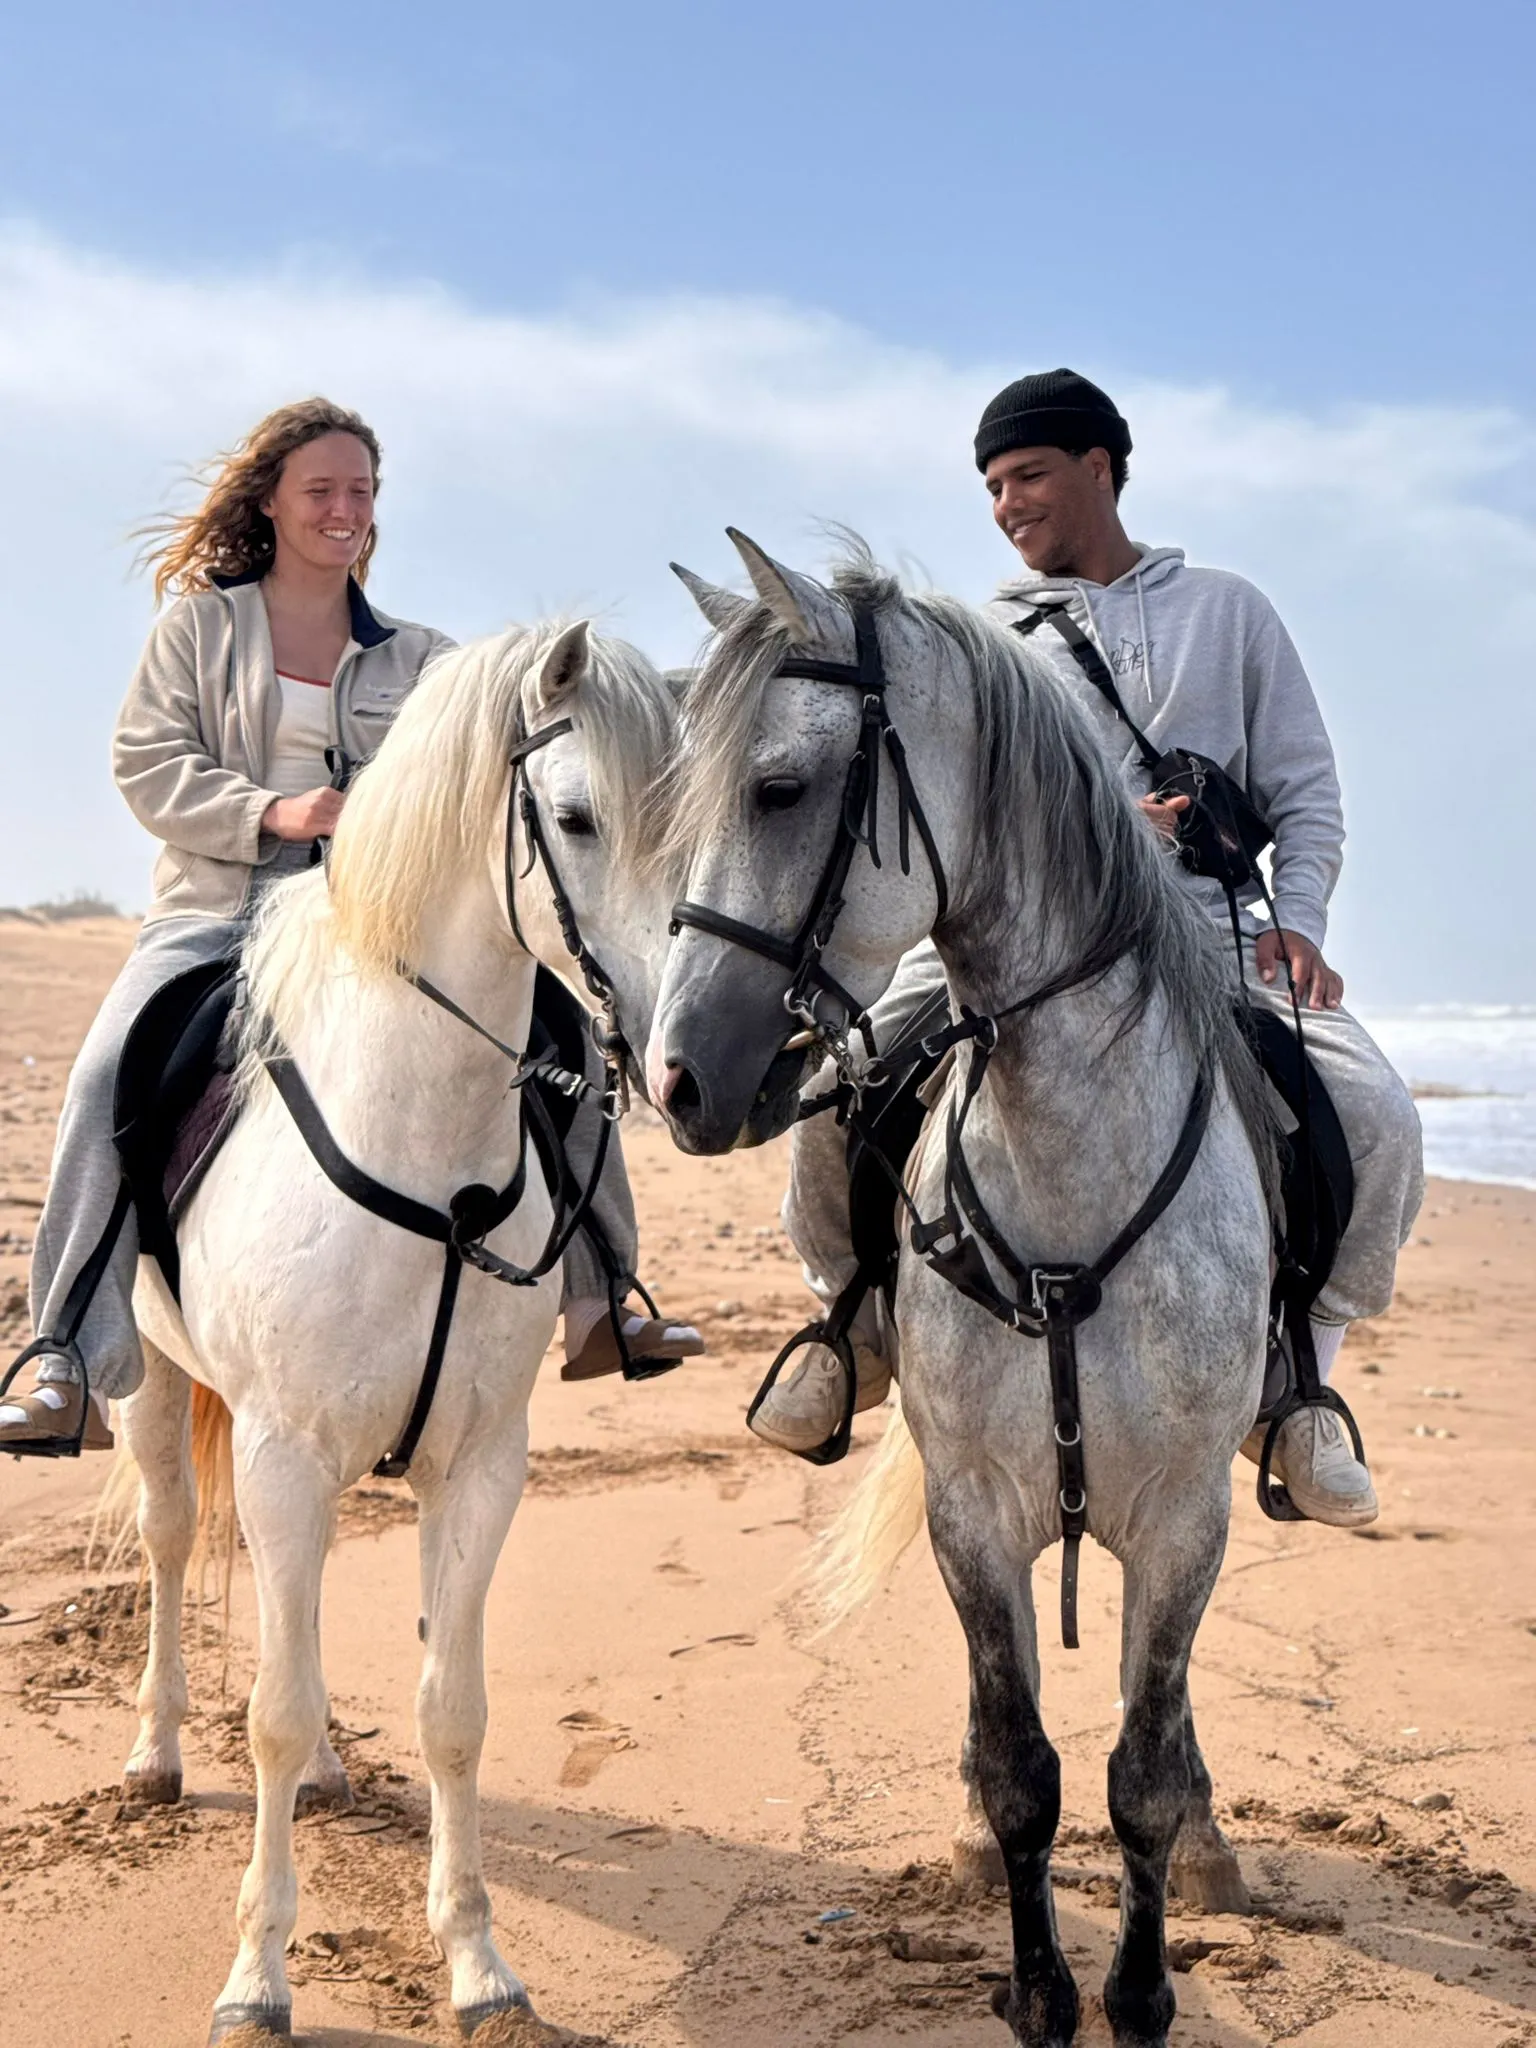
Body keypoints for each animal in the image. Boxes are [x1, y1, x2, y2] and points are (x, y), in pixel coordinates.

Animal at [121, 616, 679, 2044]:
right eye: (576, 817)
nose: (689, 1046)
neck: (429, 1153)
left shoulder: (478, 1466)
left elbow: (451, 1711)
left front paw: (477, 1961)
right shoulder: (280, 1456)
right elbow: (268, 1710)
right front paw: (257, 1978)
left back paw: (324, 1766)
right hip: (146, 1382)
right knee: (171, 1545)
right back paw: (154, 1749)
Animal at [648, 533, 1279, 2048]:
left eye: (780, 788)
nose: (676, 1077)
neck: (1071, 1182)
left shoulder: (1186, 1520)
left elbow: (1141, 1770)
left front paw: (1142, 1991)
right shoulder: (973, 1518)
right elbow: (1020, 1771)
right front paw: (1044, 1991)